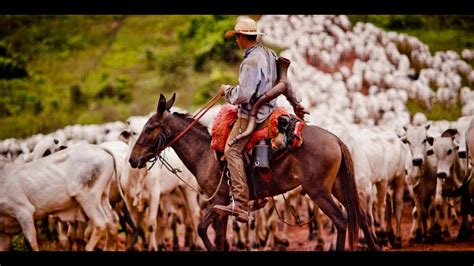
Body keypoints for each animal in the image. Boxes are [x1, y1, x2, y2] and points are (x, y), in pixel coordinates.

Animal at [129, 94, 378, 251]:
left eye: (149, 128)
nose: (133, 159)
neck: (205, 153)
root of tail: (335, 138)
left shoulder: (220, 200)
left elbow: (203, 230)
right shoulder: (222, 205)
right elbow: (219, 237)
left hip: (318, 191)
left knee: (341, 220)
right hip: (337, 186)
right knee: (360, 216)